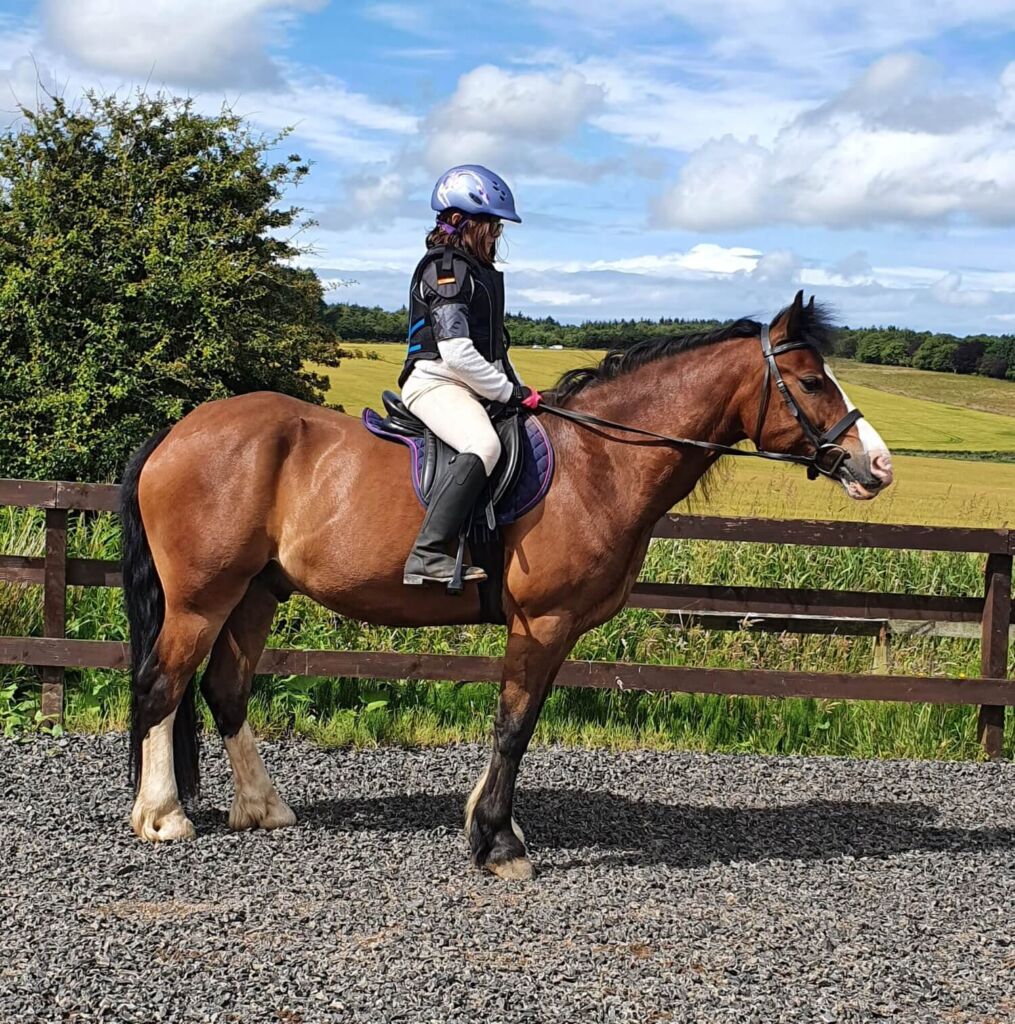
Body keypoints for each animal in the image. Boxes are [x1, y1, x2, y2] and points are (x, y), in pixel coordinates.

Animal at [121, 291, 893, 880]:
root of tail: (177, 433)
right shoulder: (543, 623)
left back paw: (264, 809)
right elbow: (514, 727)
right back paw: (162, 816)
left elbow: (518, 723)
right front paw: (497, 844)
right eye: (812, 382)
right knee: (162, 683)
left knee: (224, 687)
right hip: (202, 598)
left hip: (256, 592)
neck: (599, 461)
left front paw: (487, 823)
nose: (879, 467)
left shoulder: (553, 632)